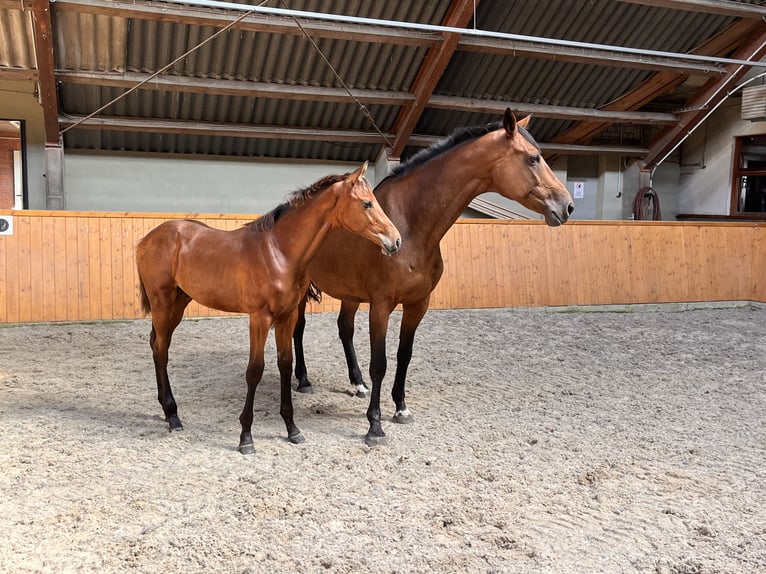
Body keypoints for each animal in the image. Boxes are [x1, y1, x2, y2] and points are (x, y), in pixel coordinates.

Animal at [136, 162, 402, 454]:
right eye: (367, 203)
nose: (396, 241)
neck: (280, 252)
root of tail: (148, 239)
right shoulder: (260, 318)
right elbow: (255, 370)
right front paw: (246, 437)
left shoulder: (287, 316)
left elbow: (285, 364)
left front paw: (292, 428)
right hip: (162, 304)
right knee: (161, 351)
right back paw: (173, 416)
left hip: (179, 303)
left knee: (157, 345)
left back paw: (166, 411)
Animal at [294, 110, 576, 448]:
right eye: (533, 158)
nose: (567, 205)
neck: (411, 225)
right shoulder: (381, 305)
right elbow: (380, 363)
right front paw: (374, 425)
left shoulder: (418, 304)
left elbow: (404, 355)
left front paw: (401, 408)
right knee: (298, 330)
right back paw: (303, 380)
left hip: (350, 293)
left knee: (344, 329)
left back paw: (357, 383)